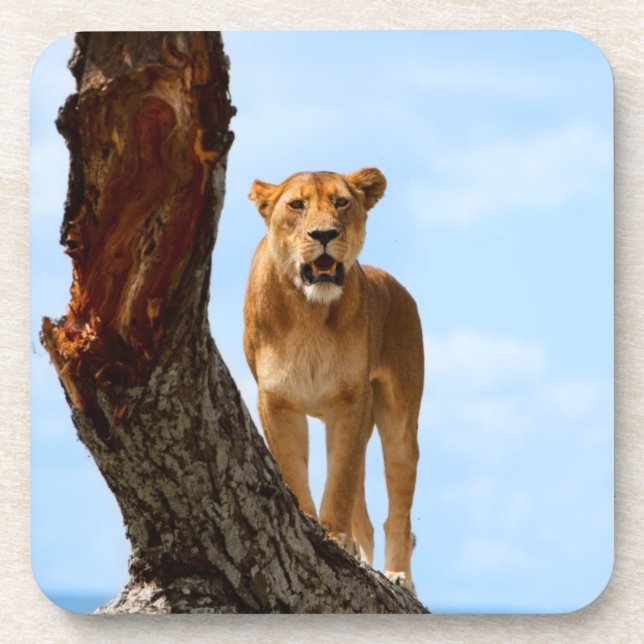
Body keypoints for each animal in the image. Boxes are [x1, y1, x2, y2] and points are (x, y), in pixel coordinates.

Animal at [243, 168, 424, 594]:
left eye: (342, 202)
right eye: (297, 205)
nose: (323, 234)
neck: (310, 312)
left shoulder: (351, 401)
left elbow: (339, 482)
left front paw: (335, 538)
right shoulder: (276, 401)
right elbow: (294, 470)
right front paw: (310, 524)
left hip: (398, 421)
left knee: (398, 515)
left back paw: (398, 576)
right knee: (368, 521)